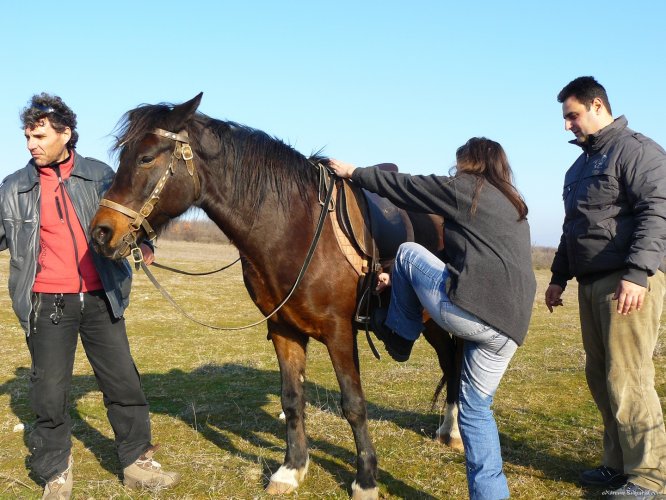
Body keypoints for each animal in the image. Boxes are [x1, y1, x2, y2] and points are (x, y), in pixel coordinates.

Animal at [89, 93, 461, 498]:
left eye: (146, 157)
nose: (101, 233)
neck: (296, 228)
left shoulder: (340, 333)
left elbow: (353, 404)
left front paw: (365, 479)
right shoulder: (284, 329)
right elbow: (293, 399)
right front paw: (292, 468)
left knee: (454, 364)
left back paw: (453, 432)